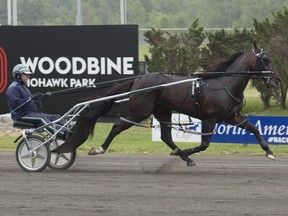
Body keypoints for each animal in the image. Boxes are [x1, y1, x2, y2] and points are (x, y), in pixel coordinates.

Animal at [53, 43, 280, 165]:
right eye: (266, 59)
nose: (277, 80)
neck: (224, 84)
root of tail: (139, 79)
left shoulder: (232, 116)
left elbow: (254, 129)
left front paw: (269, 152)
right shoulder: (210, 118)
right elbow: (204, 144)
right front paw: (187, 152)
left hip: (162, 111)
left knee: (166, 136)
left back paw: (183, 156)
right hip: (141, 111)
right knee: (118, 126)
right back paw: (99, 149)